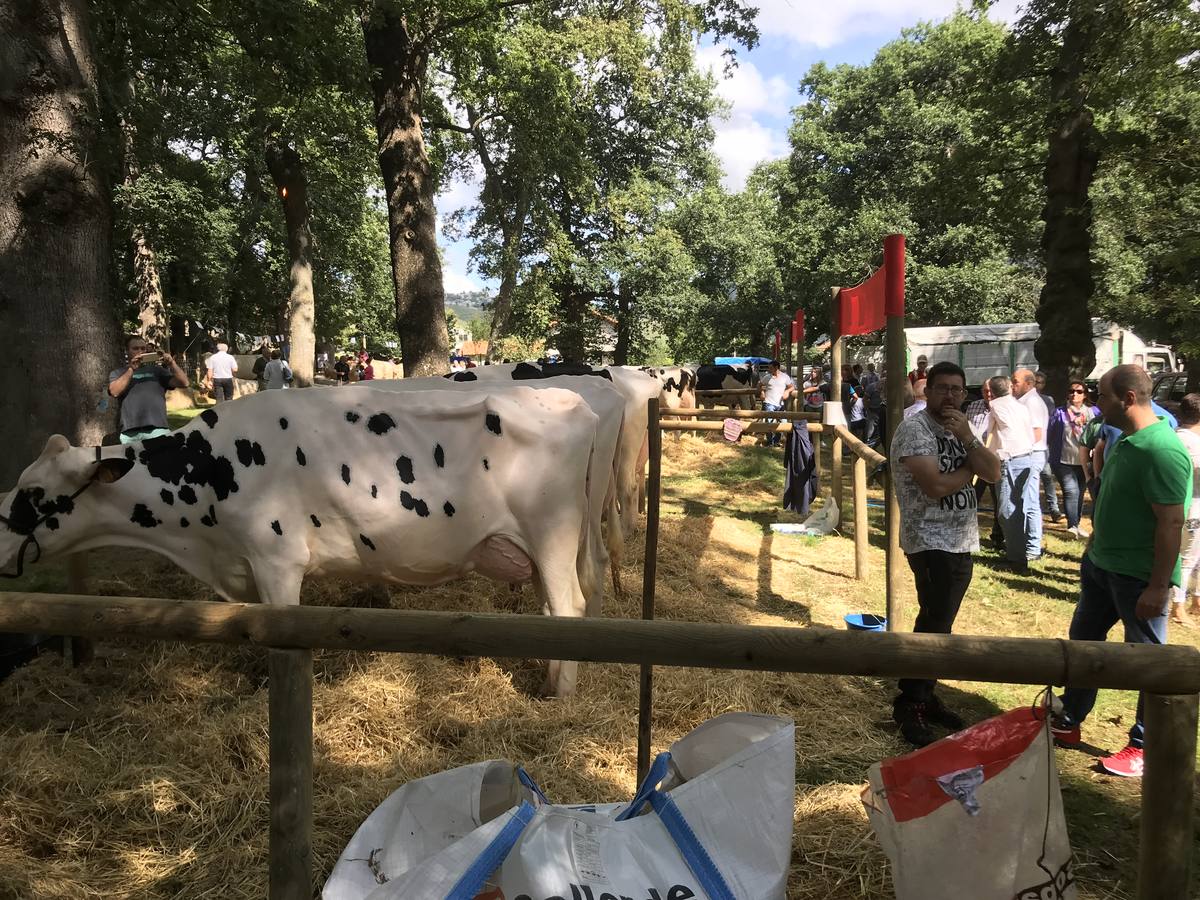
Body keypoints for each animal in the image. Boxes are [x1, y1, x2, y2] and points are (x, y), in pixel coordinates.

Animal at [0, 388, 600, 696]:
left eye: (32, 494)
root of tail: (571, 398)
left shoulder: (277, 560)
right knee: (554, 613)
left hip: (552, 533)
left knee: (571, 607)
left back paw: (561, 698)